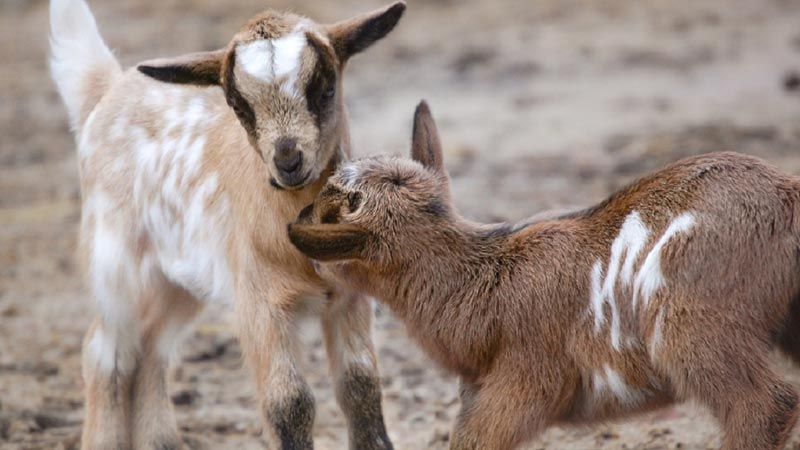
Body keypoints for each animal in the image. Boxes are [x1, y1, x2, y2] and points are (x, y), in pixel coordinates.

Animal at [49, 0, 405, 448]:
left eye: (325, 89)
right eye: (238, 105)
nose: (288, 161)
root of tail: (108, 89)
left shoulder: (349, 299)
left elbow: (360, 386)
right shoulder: (259, 304)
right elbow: (290, 403)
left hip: (177, 284)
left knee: (152, 348)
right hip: (116, 264)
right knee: (107, 352)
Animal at [288, 101, 800, 450]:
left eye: (331, 207)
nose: (295, 216)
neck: (483, 278)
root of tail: (785, 198)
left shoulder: (525, 382)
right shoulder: (478, 396)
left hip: (688, 327)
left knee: (766, 405)